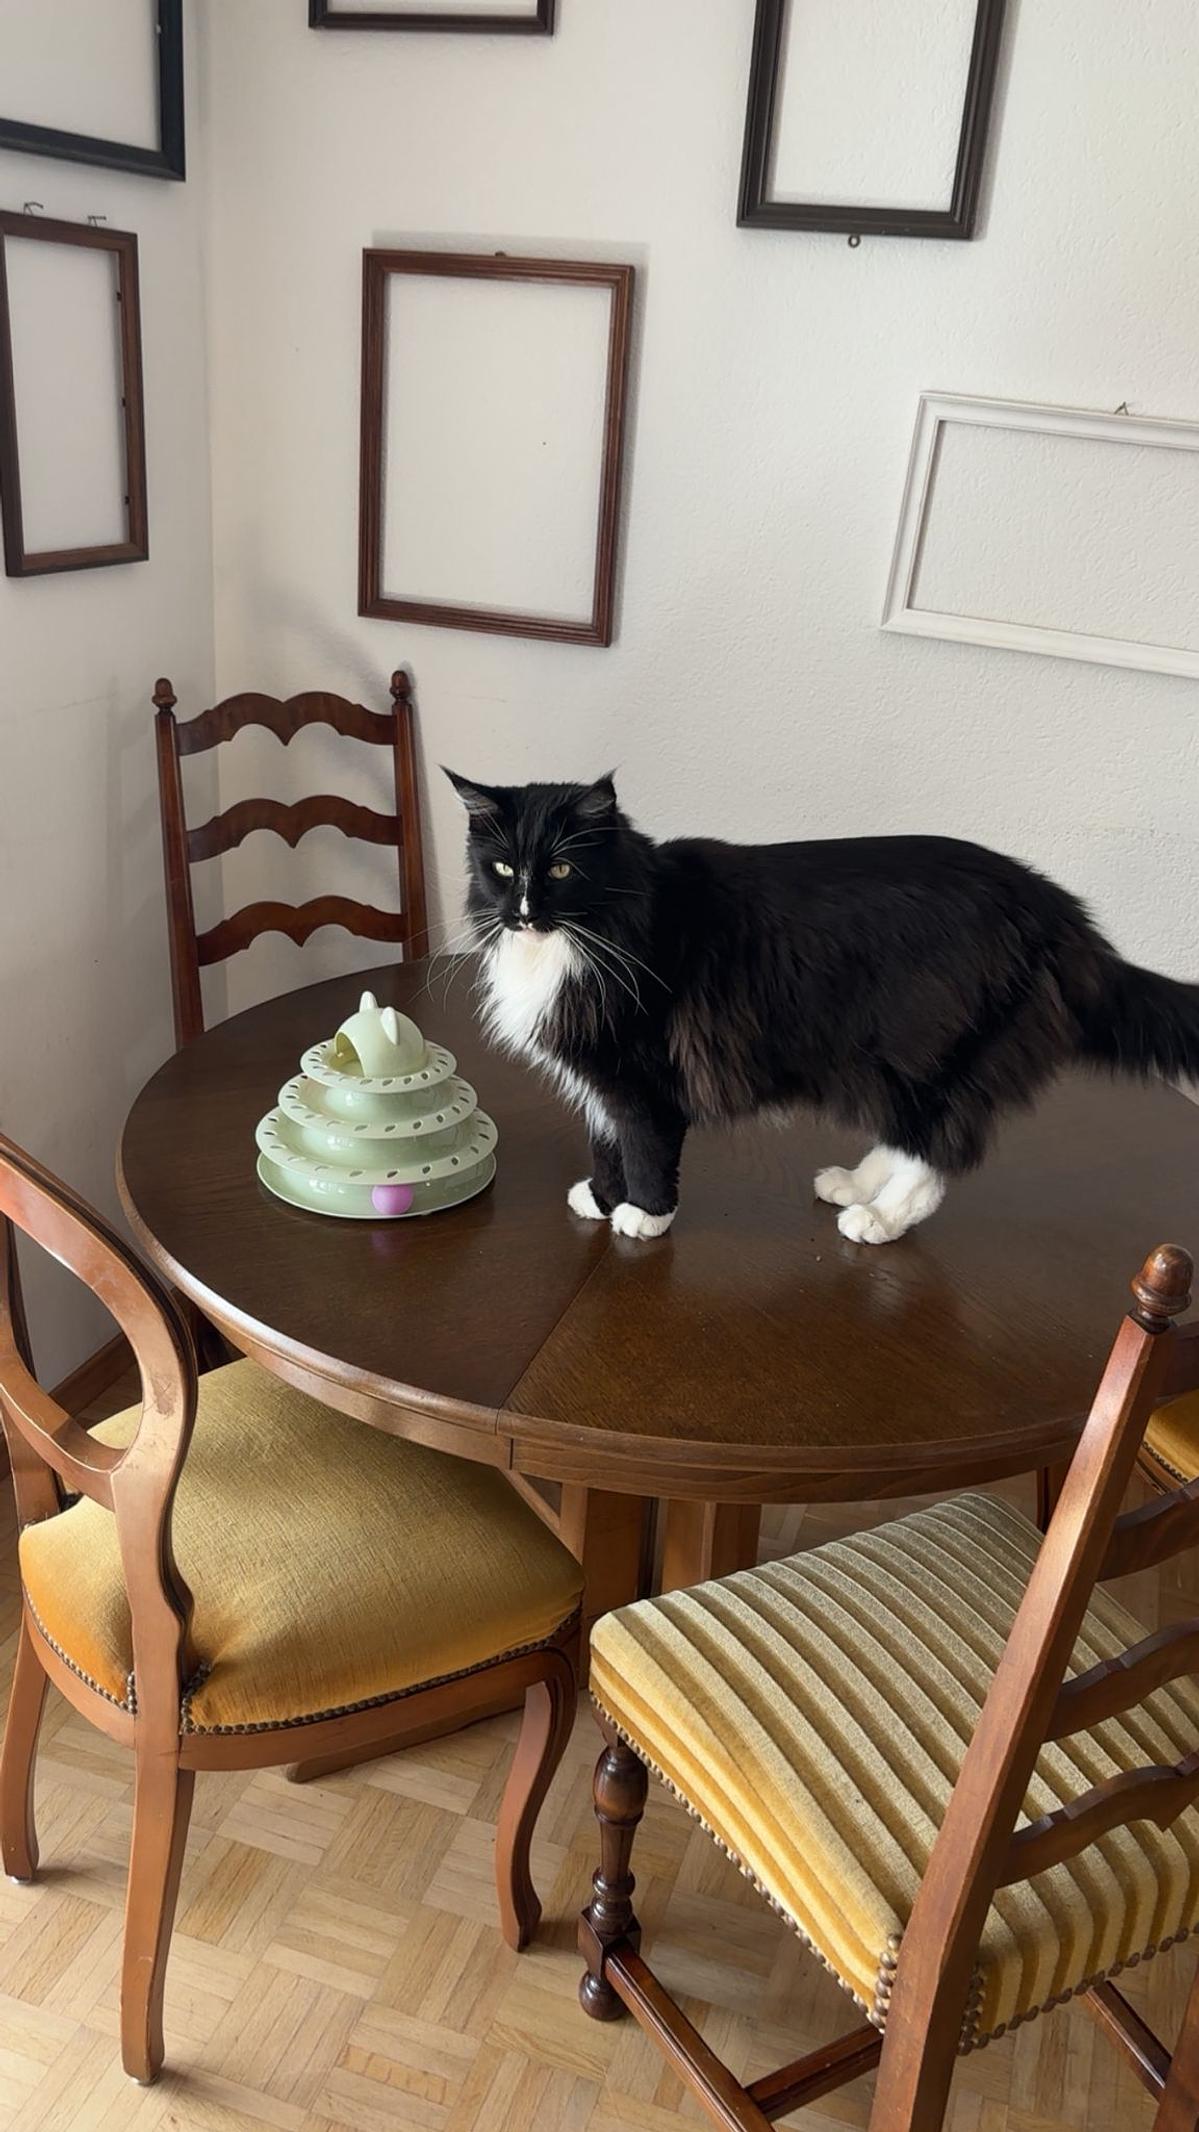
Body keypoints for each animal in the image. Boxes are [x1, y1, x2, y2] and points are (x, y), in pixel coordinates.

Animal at [444, 770, 1199, 1245]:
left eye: (561, 869)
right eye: (503, 868)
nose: (522, 912)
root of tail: (1061, 911)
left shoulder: (641, 1077)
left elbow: (646, 1149)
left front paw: (644, 1217)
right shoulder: (600, 1078)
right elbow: (607, 1145)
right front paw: (602, 1199)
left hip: (936, 1057)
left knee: (936, 1155)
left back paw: (879, 1221)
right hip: (899, 1066)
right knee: (907, 1137)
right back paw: (854, 1185)